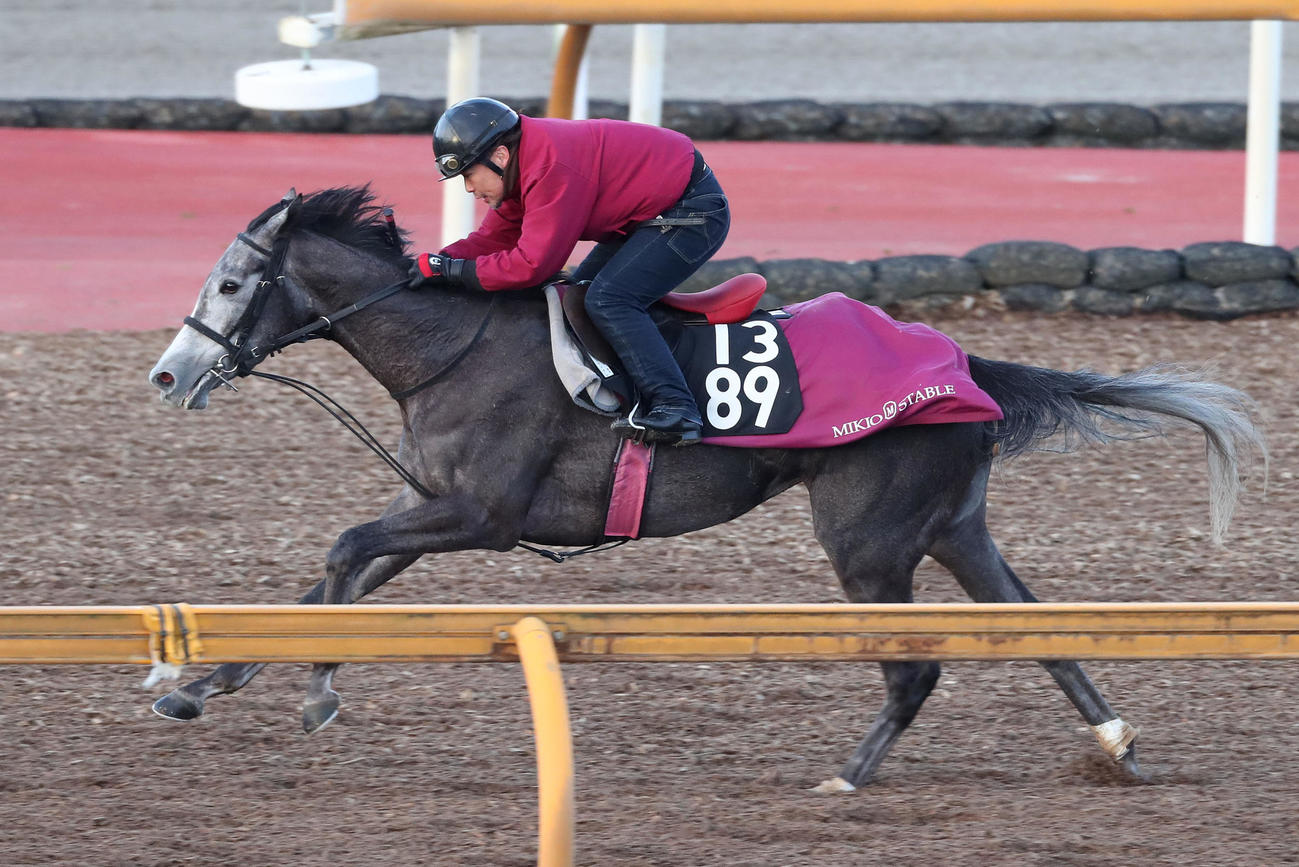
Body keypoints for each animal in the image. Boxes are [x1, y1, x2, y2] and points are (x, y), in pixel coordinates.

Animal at [147, 186, 1263, 792]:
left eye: (233, 283)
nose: (168, 373)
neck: (450, 346)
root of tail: (962, 360)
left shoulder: (482, 516)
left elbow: (341, 553)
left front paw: (316, 693)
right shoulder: (432, 508)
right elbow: (334, 579)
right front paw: (198, 683)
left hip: (868, 540)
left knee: (915, 668)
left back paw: (847, 774)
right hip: (954, 527)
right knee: (1038, 628)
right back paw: (1116, 745)